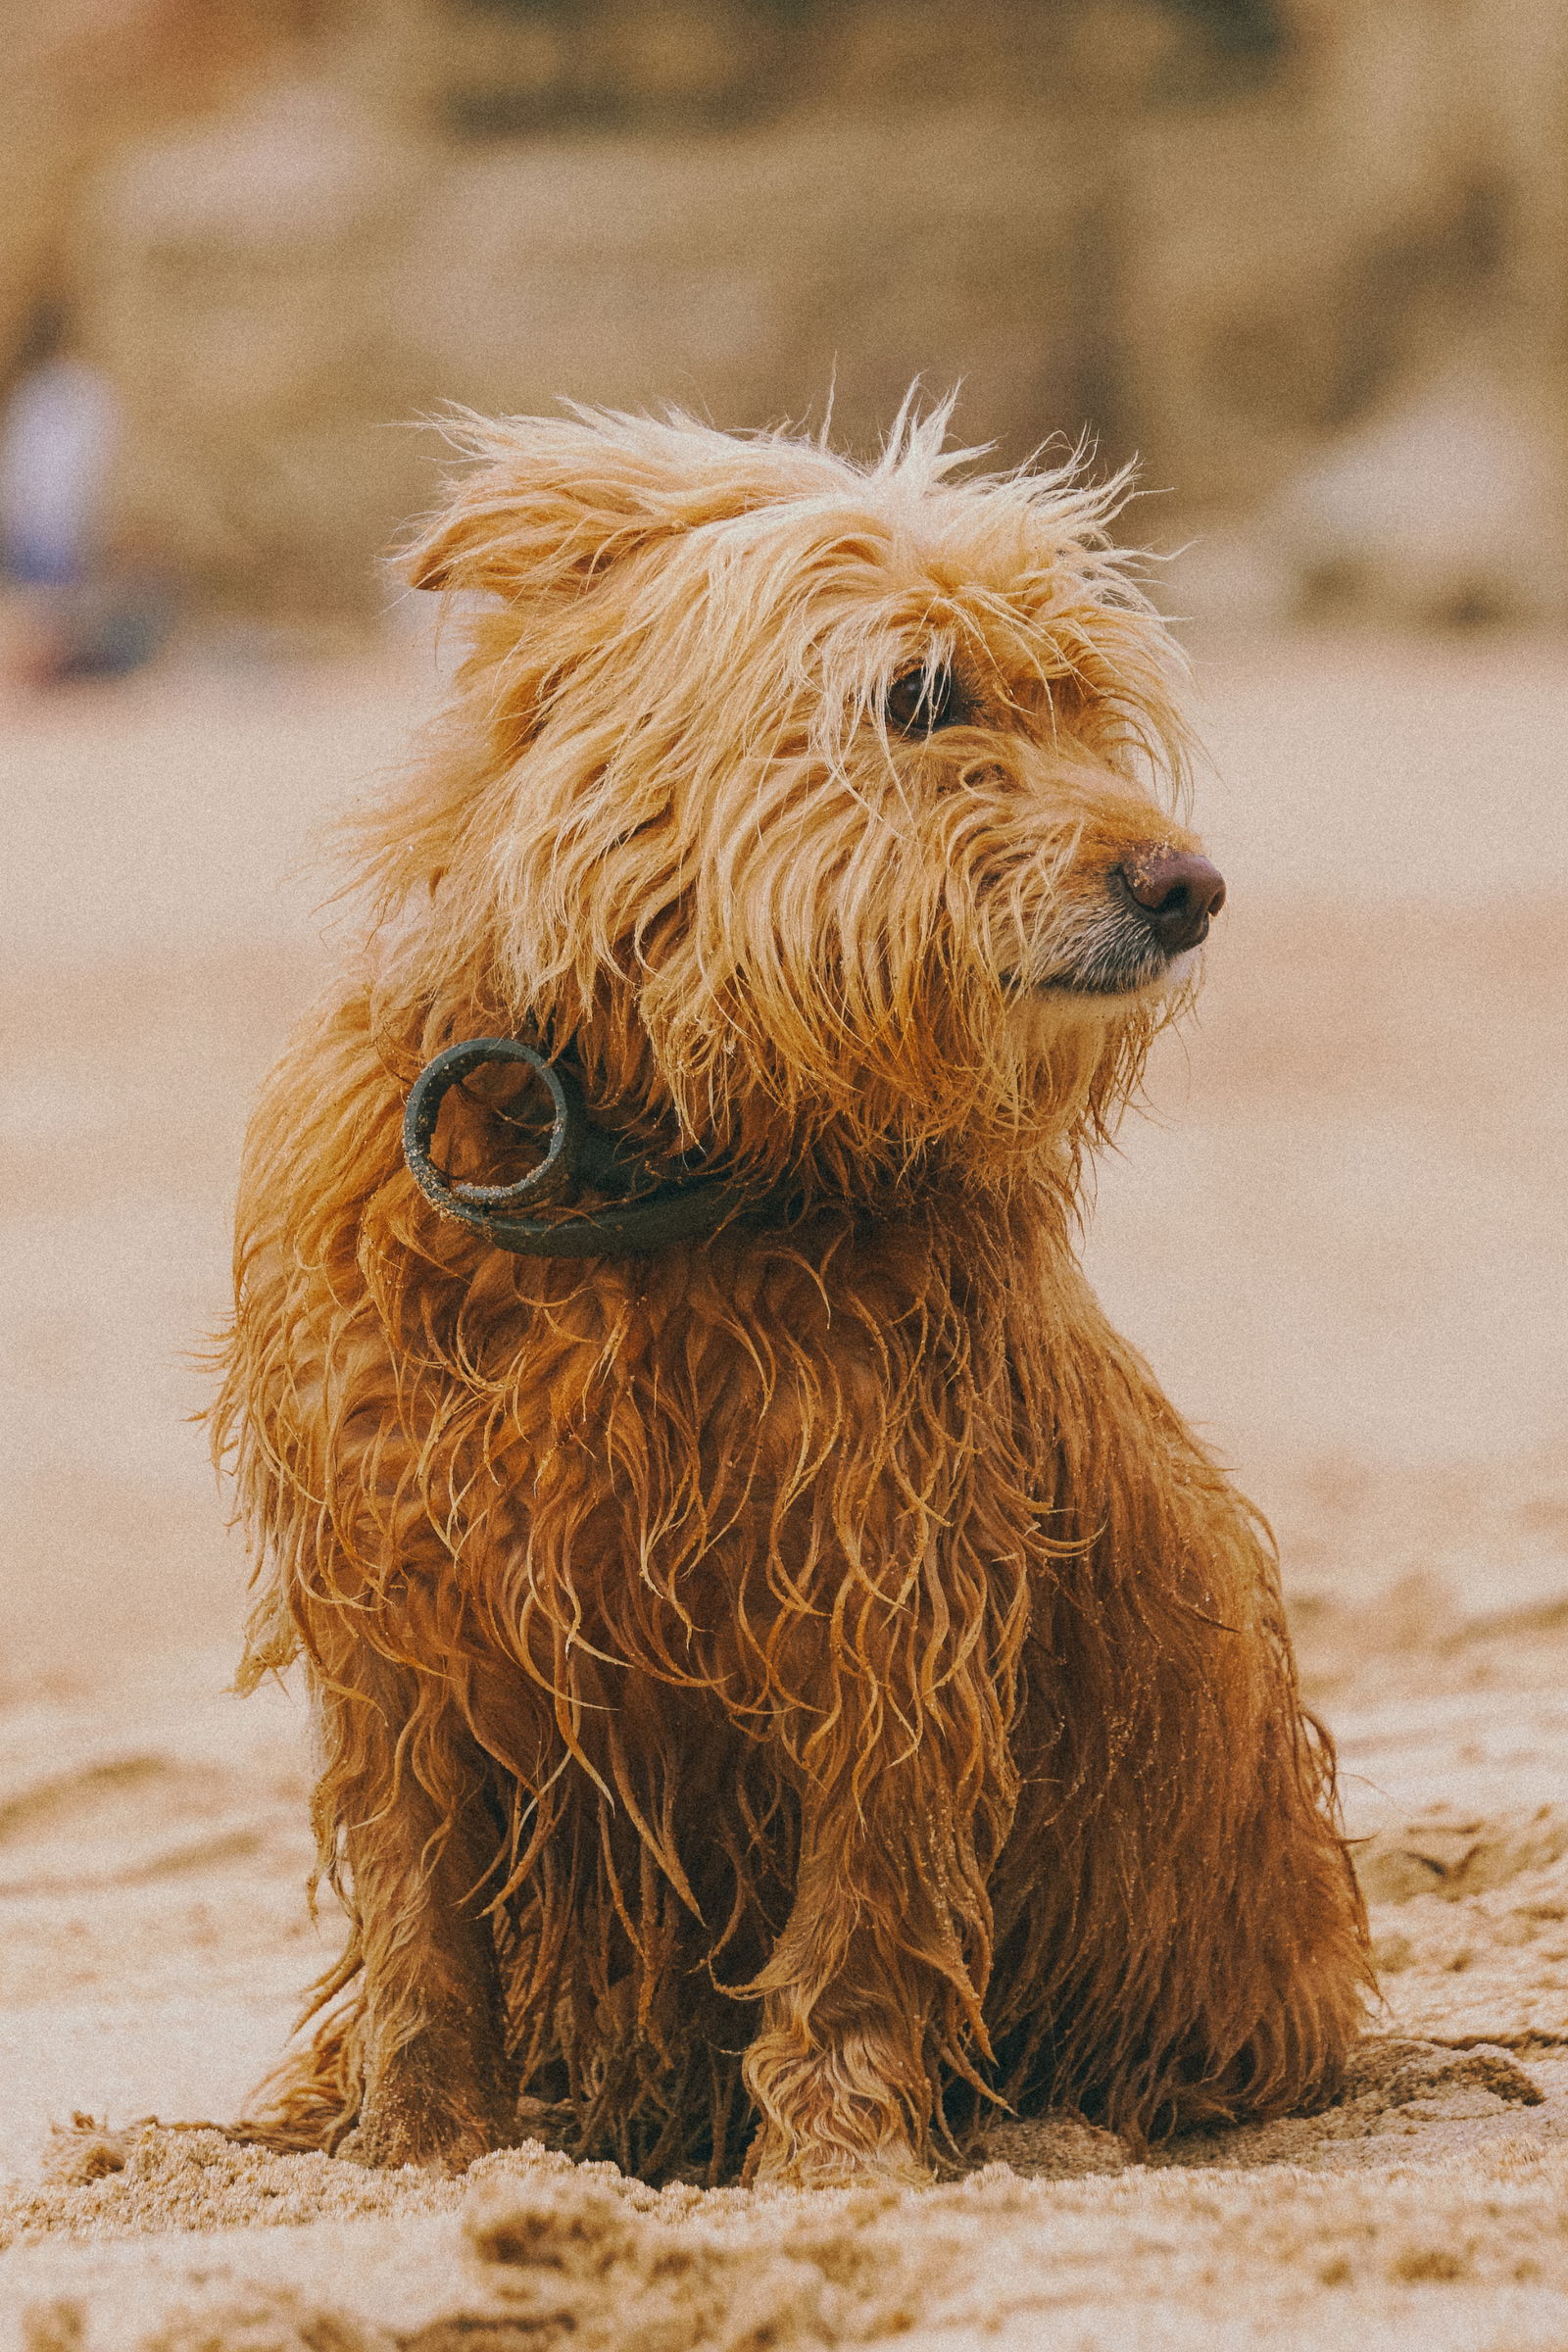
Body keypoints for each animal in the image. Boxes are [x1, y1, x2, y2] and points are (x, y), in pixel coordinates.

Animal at [215, 404, 1363, 2182]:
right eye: (921, 696)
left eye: (1086, 706)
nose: (1188, 887)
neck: (646, 1174)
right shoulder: (399, 1613)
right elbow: (419, 1919)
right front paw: (415, 2145)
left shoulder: (889, 1609)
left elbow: (858, 1927)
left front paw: (837, 2155)